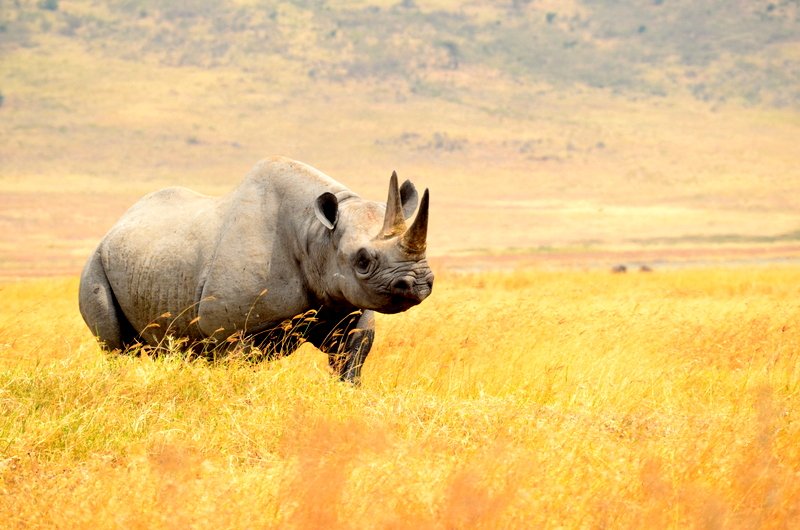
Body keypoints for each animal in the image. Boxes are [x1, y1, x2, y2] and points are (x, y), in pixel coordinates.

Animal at [78, 156, 434, 384]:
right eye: (362, 261)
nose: (418, 283)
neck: (317, 234)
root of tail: (116, 225)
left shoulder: (343, 305)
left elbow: (350, 361)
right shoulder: (230, 328)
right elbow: (240, 369)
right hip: (94, 263)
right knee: (116, 347)